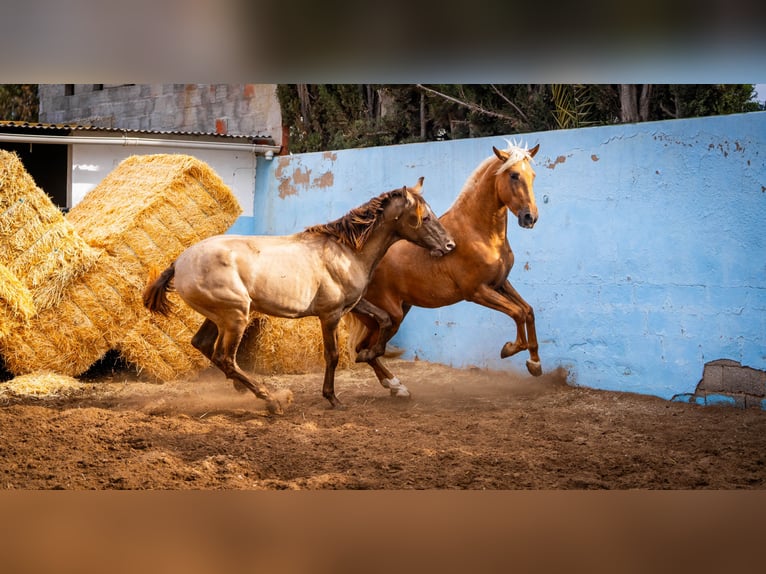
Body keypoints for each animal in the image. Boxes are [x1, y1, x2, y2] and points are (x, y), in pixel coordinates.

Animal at [142, 180, 456, 414]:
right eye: (424, 217)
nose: (449, 245)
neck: (346, 252)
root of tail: (179, 263)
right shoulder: (330, 314)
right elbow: (333, 355)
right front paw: (333, 398)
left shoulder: (352, 305)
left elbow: (386, 319)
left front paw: (373, 359)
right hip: (235, 316)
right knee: (225, 357)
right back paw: (271, 400)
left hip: (220, 316)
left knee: (204, 345)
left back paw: (245, 389)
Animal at [352, 142, 544, 398]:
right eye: (513, 175)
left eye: (532, 175)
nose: (530, 217)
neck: (478, 232)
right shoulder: (477, 292)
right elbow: (518, 313)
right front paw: (509, 349)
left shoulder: (500, 283)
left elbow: (528, 310)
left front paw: (535, 363)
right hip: (390, 315)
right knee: (365, 351)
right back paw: (394, 384)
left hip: (394, 314)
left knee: (364, 350)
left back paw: (396, 386)